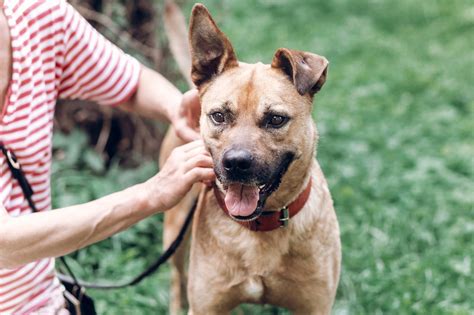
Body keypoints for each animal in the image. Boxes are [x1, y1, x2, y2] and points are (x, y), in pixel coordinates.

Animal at [160, 3, 340, 315]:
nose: (236, 163)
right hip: (174, 237)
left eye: (276, 119)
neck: (261, 226)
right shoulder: (206, 306)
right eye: (219, 115)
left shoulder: (315, 306)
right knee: (176, 279)